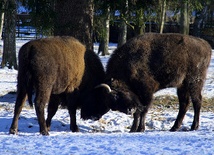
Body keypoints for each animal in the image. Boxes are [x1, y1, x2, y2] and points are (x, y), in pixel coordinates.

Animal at [83, 32, 211, 132]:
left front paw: (140, 129)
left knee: (197, 101)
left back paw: (194, 126)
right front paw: (133, 129)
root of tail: (206, 45)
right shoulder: (137, 97)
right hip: (182, 86)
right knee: (184, 104)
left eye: (115, 96)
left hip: (194, 82)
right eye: (111, 105)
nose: (129, 110)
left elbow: (143, 111)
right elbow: (138, 113)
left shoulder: (147, 93)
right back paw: (174, 127)